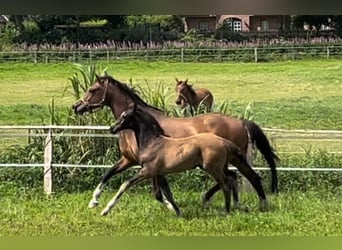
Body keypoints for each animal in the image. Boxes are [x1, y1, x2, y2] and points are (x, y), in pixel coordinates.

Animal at [101, 102, 268, 216]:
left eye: (125, 116)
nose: (112, 128)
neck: (153, 142)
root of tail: (223, 142)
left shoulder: (147, 171)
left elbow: (125, 184)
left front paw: (105, 210)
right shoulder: (158, 173)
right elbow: (166, 193)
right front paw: (178, 212)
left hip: (213, 168)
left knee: (227, 183)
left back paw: (226, 211)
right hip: (222, 166)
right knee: (233, 178)